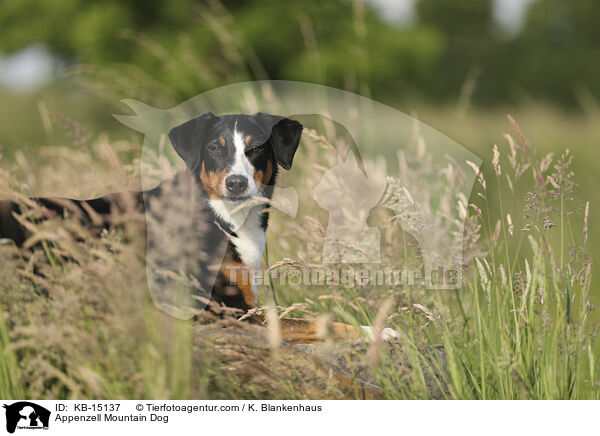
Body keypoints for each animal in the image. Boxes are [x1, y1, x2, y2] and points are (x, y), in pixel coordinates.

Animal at [1, 114, 404, 346]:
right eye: (215, 148)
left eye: (257, 149)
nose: (236, 183)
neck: (226, 219)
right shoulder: (225, 310)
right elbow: (313, 322)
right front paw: (376, 331)